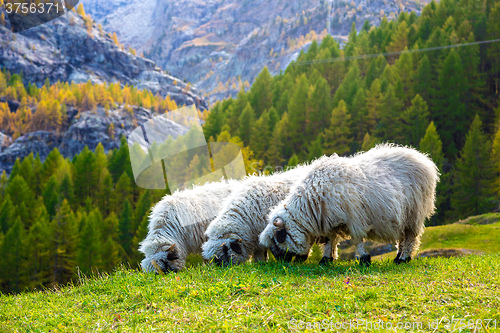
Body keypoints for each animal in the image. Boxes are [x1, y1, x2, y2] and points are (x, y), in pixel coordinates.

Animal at [260, 144, 440, 266]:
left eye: (278, 239)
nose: (282, 263)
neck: (312, 204)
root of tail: (423, 158)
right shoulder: (330, 220)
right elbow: (330, 239)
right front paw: (326, 259)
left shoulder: (354, 218)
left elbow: (357, 239)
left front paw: (364, 259)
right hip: (404, 215)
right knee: (403, 237)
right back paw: (398, 257)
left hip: (414, 213)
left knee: (410, 237)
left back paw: (404, 258)